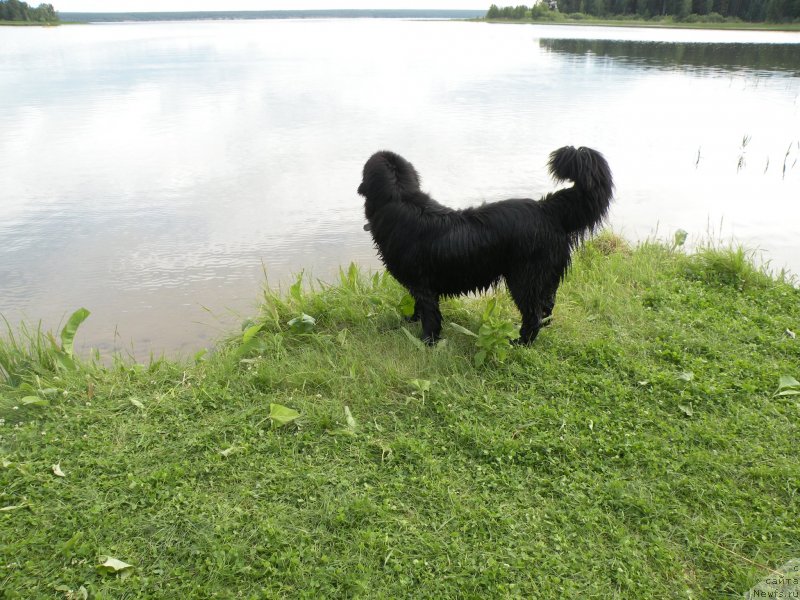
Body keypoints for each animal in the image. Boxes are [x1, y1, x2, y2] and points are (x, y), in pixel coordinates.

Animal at [360, 145, 616, 344]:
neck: (401, 199)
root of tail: (547, 209)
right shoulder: (419, 285)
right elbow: (418, 307)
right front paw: (411, 321)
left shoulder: (423, 285)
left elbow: (430, 315)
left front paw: (427, 342)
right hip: (547, 278)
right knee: (547, 308)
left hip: (524, 278)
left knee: (533, 314)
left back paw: (520, 342)